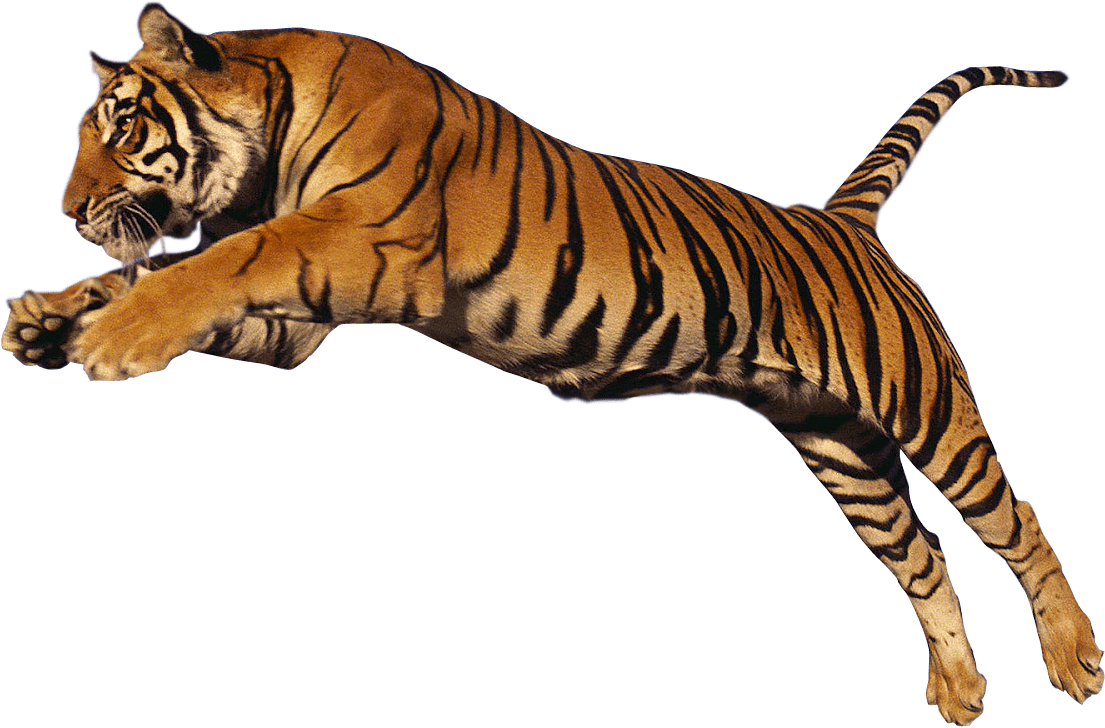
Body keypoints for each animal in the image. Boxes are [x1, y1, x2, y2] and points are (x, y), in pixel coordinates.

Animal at [1, 2, 1099, 722]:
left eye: (124, 126)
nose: (67, 210)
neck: (267, 144)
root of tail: (842, 218)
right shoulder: (296, 323)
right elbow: (162, 275)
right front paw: (48, 318)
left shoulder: (356, 241)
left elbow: (215, 262)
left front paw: (113, 337)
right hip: (838, 447)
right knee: (922, 552)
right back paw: (958, 688)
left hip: (925, 407)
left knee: (1015, 518)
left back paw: (1074, 656)